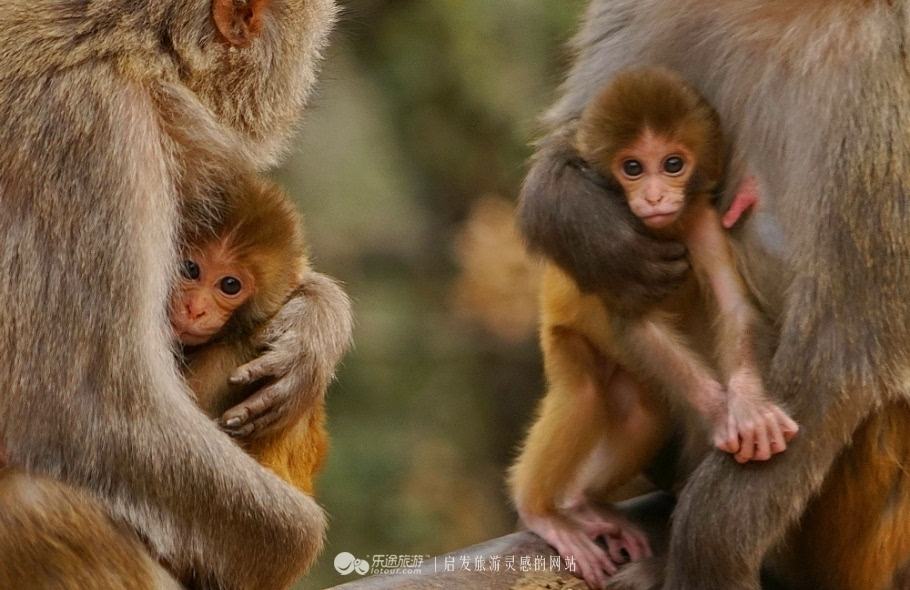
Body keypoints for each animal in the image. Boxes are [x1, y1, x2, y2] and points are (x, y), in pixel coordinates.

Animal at [584, 67, 800, 460]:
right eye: (632, 168)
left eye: (673, 164)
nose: (655, 197)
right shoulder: (614, 252)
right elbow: (638, 321)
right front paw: (718, 412)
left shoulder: (704, 224)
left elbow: (734, 305)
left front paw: (749, 406)